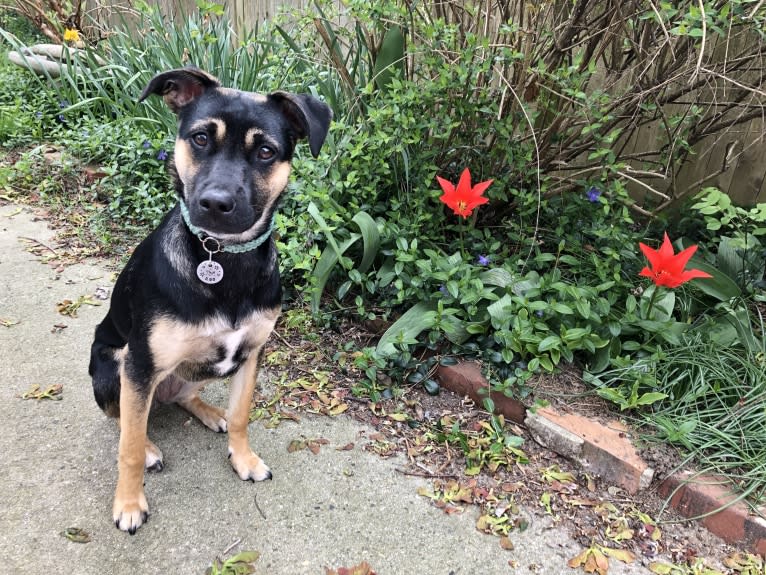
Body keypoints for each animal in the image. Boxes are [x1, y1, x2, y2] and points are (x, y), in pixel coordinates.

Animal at [88, 68, 332, 536]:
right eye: (200, 138)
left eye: (266, 151)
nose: (216, 204)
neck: (223, 256)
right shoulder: (140, 363)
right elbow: (128, 444)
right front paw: (128, 503)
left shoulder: (251, 353)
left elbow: (241, 415)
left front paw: (244, 458)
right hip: (113, 365)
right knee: (124, 419)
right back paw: (150, 446)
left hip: (198, 370)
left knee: (183, 396)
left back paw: (208, 411)